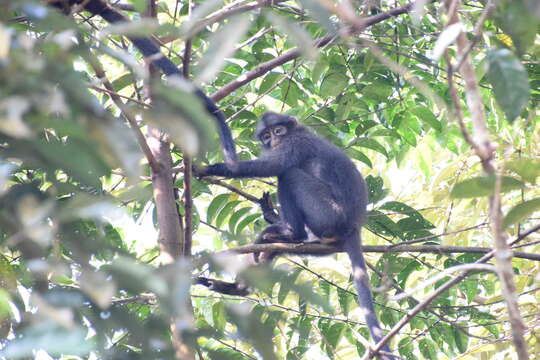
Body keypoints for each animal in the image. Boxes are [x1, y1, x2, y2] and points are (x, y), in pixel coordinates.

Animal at [196, 112, 394, 358]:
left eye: (278, 131)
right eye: (266, 135)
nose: (273, 140)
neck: (297, 132)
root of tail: (354, 225)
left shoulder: (296, 143)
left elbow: (267, 166)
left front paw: (209, 166)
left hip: (326, 213)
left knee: (288, 174)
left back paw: (292, 233)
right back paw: (241, 284)